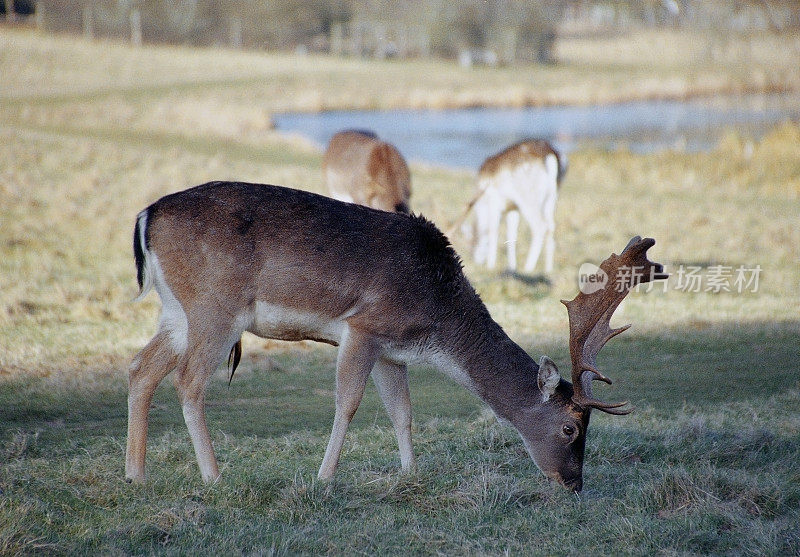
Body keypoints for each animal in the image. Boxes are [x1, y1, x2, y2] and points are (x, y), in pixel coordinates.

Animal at [468, 139, 564, 274]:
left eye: (472, 244)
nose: (474, 260)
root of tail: (550, 157)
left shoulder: (494, 202)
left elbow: (493, 230)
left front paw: (490, 265)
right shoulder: (512, 207)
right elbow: (511, 235)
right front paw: (511, 267)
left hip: (528, 197)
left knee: (540, 226)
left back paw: (528, 268)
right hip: (552, 198)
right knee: (551, 226)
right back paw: (548, 270)